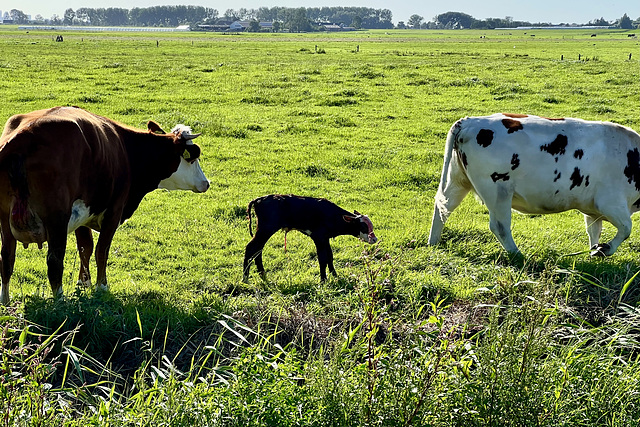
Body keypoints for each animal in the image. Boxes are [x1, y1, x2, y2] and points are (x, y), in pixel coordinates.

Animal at [0, 106, 210, 304]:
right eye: (192, 158)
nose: (206, 183)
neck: (127, 151)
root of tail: (21, 138)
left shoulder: (83, 213)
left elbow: (85, 248)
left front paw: (83, 283)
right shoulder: (113, 211)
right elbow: (102, 250)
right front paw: (102, 287)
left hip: (6, 218)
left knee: (6, 257)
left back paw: (5, 300)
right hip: (57, 218)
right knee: (54, 260)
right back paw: (60, 301)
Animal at [244, 195, 376, 282]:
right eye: (363, 227)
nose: (374, 239)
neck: (332, 215)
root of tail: (259, 199)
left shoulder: (325, 238)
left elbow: (330, 256)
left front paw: (334, 275)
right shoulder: (318, 237)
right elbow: (322, 258)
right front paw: (323, 280)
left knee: (258, 250)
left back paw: (262, 275)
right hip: (266, 229)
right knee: (251, 248)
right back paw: (245, 278)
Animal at [428, 112, 640, 256]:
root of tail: (469, 121)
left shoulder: (593, 209)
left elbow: (594, 231)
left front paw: (593, 251)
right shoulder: (610, 202)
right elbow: (626, 228)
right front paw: (605, 249)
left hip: (457, 181)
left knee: (442, 208)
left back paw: (433, 243)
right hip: (498, 189)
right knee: (499, 225)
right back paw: (518, 255)